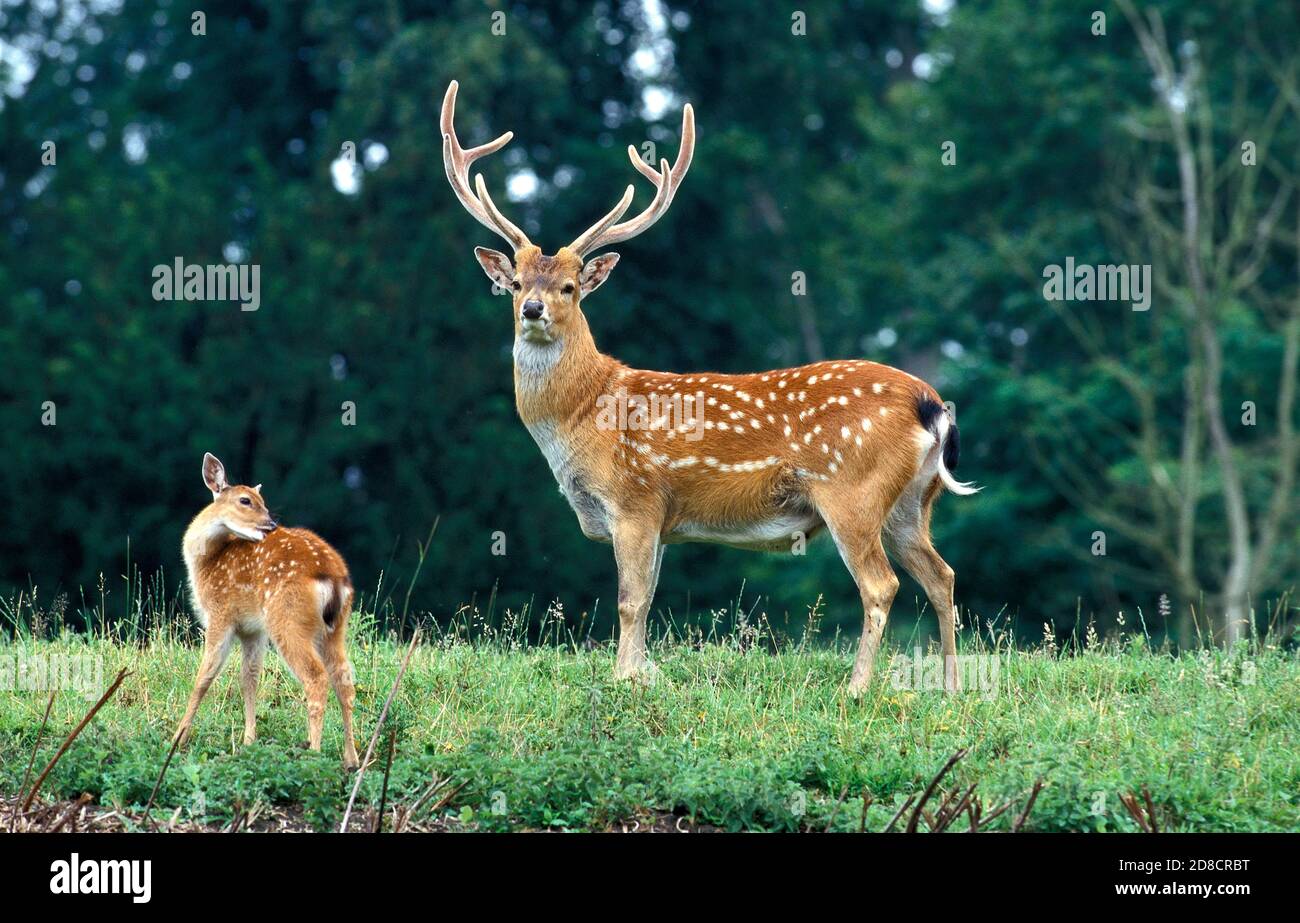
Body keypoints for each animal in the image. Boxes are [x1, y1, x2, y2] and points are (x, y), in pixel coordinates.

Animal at [175, 452, 361, 769]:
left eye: (260, 500)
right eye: (245, 500)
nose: (271, 523)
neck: (206, 562)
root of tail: (334, 578)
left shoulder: (220, 614)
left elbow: (204, 678)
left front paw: (178, 738)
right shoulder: (253, 630)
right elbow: (249, 679)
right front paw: (249, 742)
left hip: (287, 618)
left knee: (316, 677)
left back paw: (313, 753)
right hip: (335, 628)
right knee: (344, 680)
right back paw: (352, 759)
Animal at [441, 83, 977, 696]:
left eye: (571, 287)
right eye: (515, 283)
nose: (533, 309)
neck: (583, 417)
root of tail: (932, 404)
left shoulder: (637, 498)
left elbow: (629, 601)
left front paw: (623, 681)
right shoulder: (662, 521)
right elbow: (648, 598)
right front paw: (642, 674)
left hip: (852, 489)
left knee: (881, 584)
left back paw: (857, 687)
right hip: (913, 500)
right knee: (941, 574)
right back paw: (952, 687)